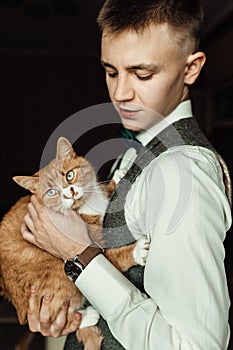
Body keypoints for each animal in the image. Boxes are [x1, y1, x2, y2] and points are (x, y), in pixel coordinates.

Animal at [0, 137, 149, 350]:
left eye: (69, 175)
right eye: (52, 192)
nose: (69, 193)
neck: (88, 204)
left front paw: (118, 175)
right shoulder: (97, 247)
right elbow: (115, 257)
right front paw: (138, 251)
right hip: (59, 280)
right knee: (57, 315)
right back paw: (87, 316)